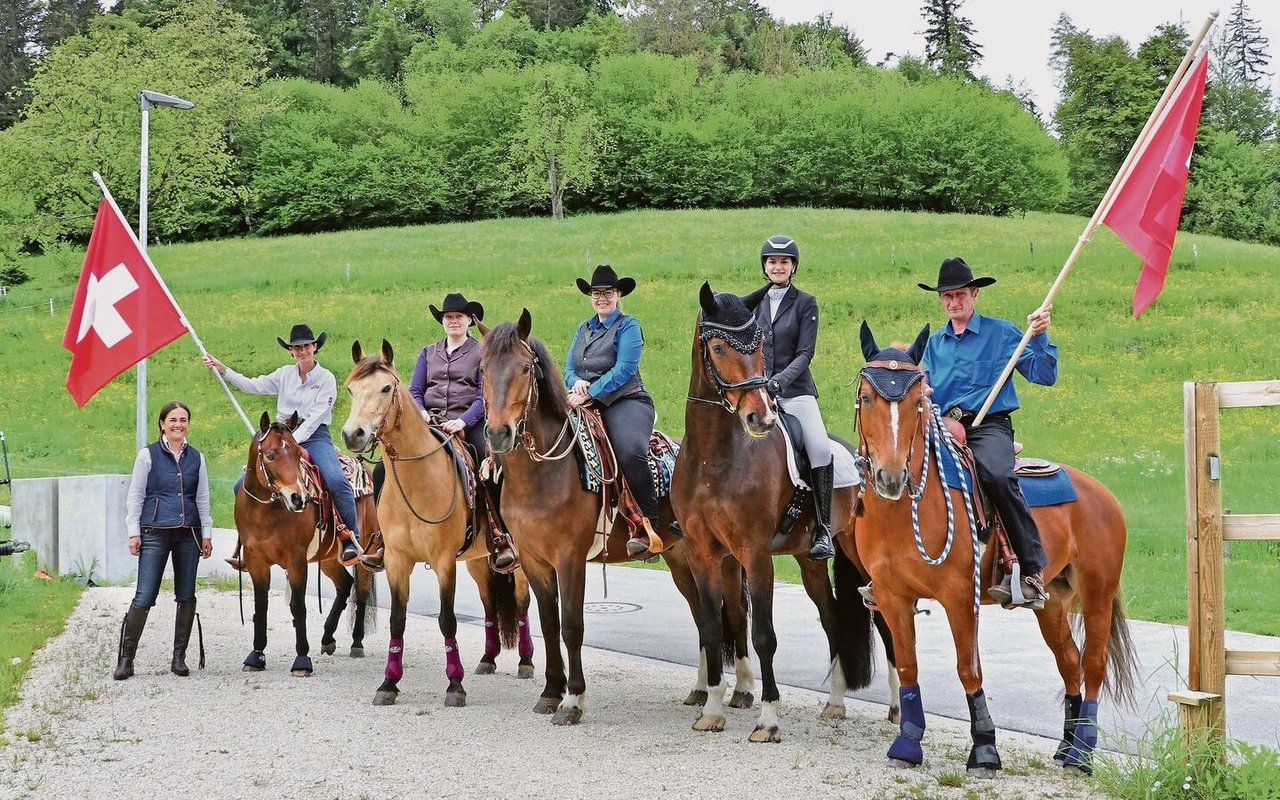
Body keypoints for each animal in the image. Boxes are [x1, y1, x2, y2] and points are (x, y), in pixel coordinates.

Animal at [235, 412, 373, 675]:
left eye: (298, 455)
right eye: (270, 455)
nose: (298, 498)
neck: (265, 511)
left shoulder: (296, 560)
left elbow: (298, 607)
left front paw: (301, 660)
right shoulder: (255, 560)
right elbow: (261, 607)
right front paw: (256, 656)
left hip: (367, 552)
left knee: (361, 591)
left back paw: (357, 642)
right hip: (329, 557)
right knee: (345, 584)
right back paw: (327, 638)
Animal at [340, 337, 535, 706]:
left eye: (386, 388)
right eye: (351, 389)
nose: (353, 434)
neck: (418, 480)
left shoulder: (444, 562)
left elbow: (448, 620)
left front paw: (454, 685)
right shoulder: (397, 560)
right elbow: (397, 620)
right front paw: (388, 683)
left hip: (515, 561)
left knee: (520, 601)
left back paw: (526, 662)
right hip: (477, 560)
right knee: (489, 603)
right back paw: (488, 659)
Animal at [483, 311, 752, 721]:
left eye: (525, 368)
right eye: (482, 368)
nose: (499, 433)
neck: (544, 474)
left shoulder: (570, 559)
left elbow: (571, 625)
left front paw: (573, 700)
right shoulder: (533, 560)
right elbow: (548, 624)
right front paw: (550, 692)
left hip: (727, 561)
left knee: (734, 616)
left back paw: (743, 690)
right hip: (682, 560)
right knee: (702, 618)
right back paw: (701, 691)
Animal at [670, 282, 890, 742]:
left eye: (757, 347)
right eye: (718, 347)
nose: (760, 417)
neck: (716, 458)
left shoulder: (755, 554)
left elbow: (763, 635)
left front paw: (768, 719)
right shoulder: (702, 553)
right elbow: (712, 627)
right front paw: (712, 710)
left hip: (859, 555)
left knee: (880, 616)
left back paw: (898, 710)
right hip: (809, 559)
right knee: (831, 617)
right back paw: (836, 702)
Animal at [839, 322, 1141, 773]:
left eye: (916, 401)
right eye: (866, 397)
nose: (890, 477)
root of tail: (1100, 493)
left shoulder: (961, 597)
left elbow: (969, 669)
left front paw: (984, 749)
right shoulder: (893, 598)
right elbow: (908, 666)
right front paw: (908, 743)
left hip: (1097, 593)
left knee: (1093, 664)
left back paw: (1082, 752)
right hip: (1053, 603)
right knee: (1070, 662)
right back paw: (1065, 745)